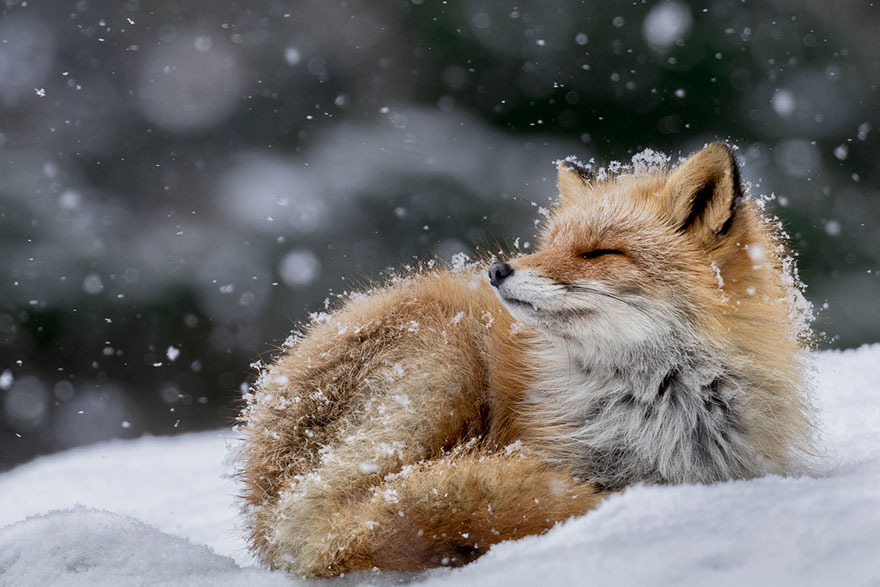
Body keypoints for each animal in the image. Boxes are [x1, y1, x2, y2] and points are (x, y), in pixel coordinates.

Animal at [237, 142, 814, 577]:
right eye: (550, 244)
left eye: (599, 253)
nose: (497, 270)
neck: (657, 405)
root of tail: (263, 510)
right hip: (444, 364)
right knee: (352, 523)